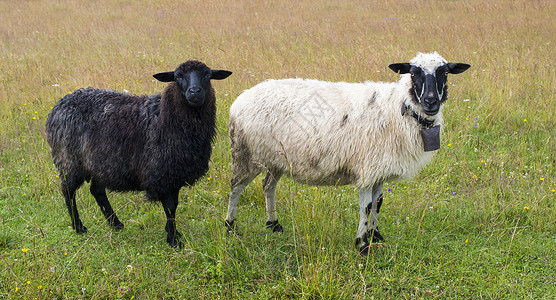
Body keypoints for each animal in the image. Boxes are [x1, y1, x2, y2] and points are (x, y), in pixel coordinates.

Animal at [44, 59, 232, 247]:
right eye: (178, 76)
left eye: (208, 75)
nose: (194, 92)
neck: (166, 118)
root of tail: (59, 104)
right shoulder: (162, 174)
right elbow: (170, 207)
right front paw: (173, 240)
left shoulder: (175, 173)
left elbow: (174, 205)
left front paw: (173, 233)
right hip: (68, 160)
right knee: (68, 192)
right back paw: (78, 227)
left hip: (100, 163)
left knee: (97, 191)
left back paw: (116, 224)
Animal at [224, 52, 472, 254]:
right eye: (413, 73)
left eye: (445, 73)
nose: (431, 102)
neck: (398, 108)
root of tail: (241, 98)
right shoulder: (366, 168)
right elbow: (367, 206)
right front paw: (362, 244)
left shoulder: (379, 169)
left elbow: (378, 203)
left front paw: (376, 236)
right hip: (246, 152)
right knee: (236, 186)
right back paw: (230, 226)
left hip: (274, 158)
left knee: (268, 186)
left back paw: (273, 224)